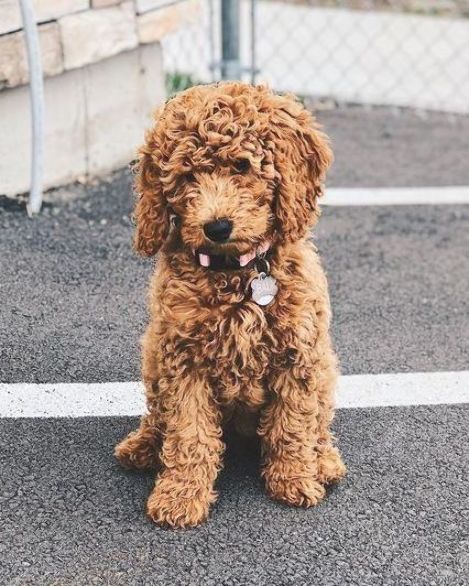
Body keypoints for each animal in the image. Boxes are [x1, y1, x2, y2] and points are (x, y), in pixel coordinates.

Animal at [115, 81, 346, 524]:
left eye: (241, 166)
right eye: (187, 176)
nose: (217, 226)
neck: (238, 272)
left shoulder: (297, 355)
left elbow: (293, 424)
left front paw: (293, 480)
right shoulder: (182, 359)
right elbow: (189, 433)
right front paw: (180, 495)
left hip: (325, 366)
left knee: (319, 425)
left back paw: (325, 462)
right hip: (152, 356)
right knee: (159, 417)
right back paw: (143, 446)